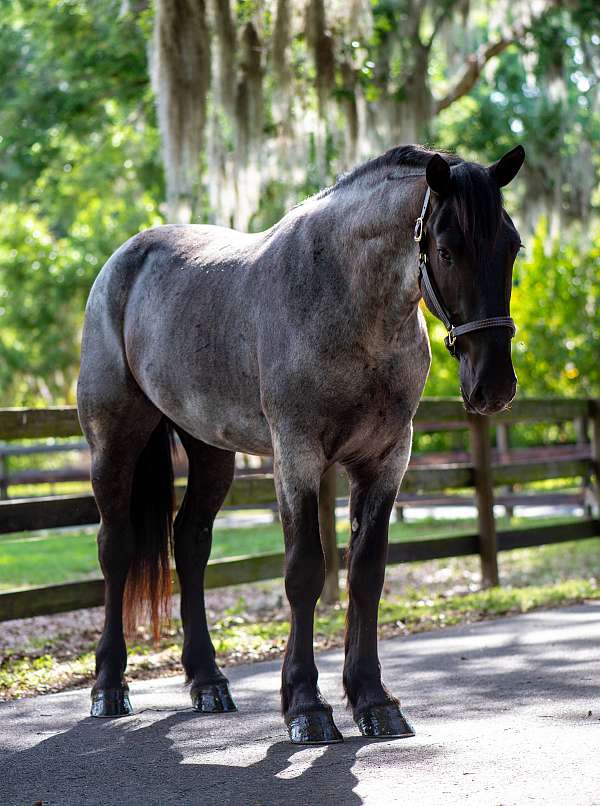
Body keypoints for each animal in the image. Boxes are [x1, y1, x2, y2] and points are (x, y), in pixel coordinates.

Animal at [77, 143, 524, 743]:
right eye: (448, 251)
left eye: (512, 246)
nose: (493, 385)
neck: (346, 299)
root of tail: (121, 263)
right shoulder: (298, 458)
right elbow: (305, 571)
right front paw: (307, 707)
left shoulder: (385, 461)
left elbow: (366, 574)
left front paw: (374, 700)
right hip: (114, 441)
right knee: (116, 548)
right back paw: (108, 687)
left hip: (211, 450)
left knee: (191, 543)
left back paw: (208, 682)